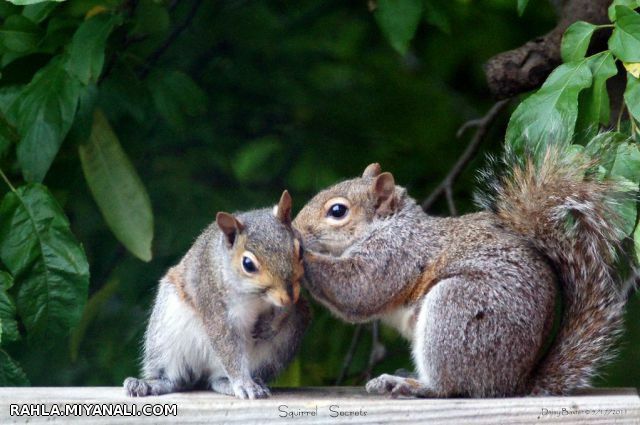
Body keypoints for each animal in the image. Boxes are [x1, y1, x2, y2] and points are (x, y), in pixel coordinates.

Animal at [124, 190, 310, 400]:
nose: (287, 296)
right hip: (167, 331)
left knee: (216, 379)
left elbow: (287, 308)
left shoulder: (295, 296)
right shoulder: (212, 301)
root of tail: (203, 372)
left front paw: (271, 324)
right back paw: (152, 384)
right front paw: (244, 384)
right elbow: (227, 346)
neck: (256, 297)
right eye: (248, 264)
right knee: (176, 378)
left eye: (300, 250)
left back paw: (231, 382)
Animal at [294, 149, 632, 398]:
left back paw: (410, 385)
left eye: (337, 211)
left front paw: (300, 252)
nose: (297, 226)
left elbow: (358, 289)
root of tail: (513, 383)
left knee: (452, 386)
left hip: (457, 310)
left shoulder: (397, 254)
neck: (391, 224)